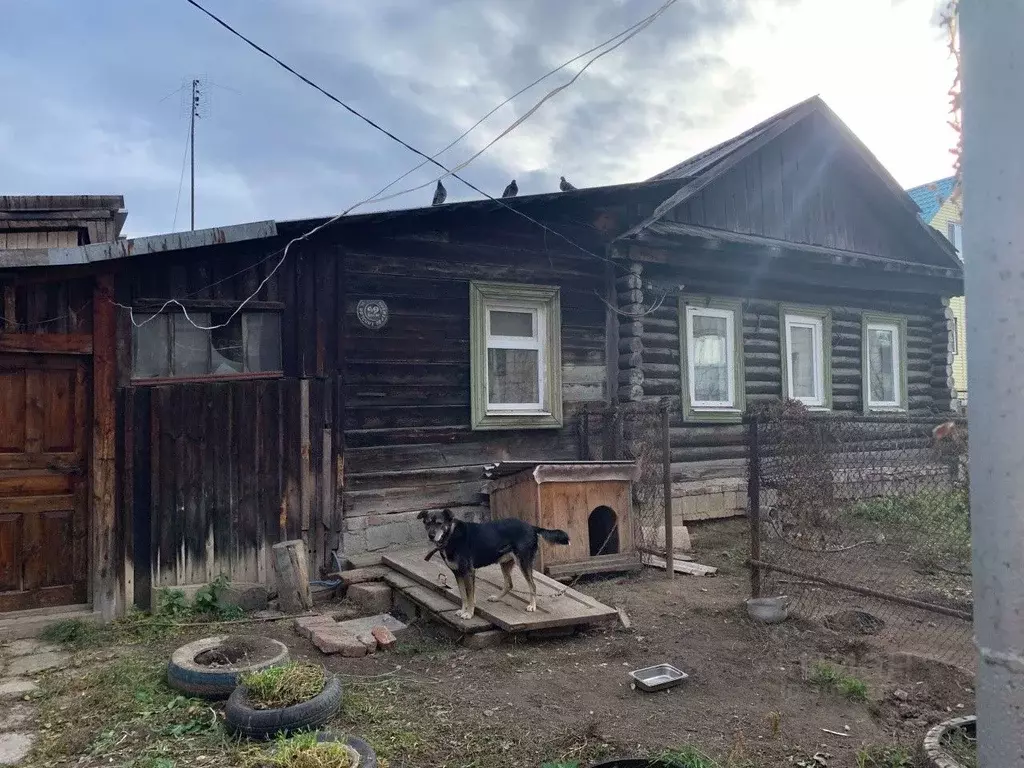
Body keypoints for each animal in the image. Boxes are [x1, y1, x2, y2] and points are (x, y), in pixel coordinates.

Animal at [417, 507, 577, 622]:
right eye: (427, 523)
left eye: (439, 523)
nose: (431, 536)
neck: (450, 535)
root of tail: (532, 527)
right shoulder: (458, 573)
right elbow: (463, 595)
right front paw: (463, 610)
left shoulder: (468, 572)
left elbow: (470, 596)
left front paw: (469, 613)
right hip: (505, 563)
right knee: (509, 584)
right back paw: (497, 598)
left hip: (523, 563)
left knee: (532, 585)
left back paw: (532, 605)